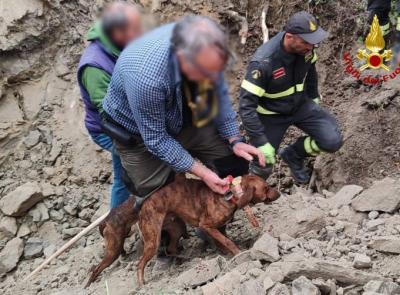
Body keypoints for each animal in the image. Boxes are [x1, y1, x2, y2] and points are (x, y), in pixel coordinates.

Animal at [86, 175, 280, 288]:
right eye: (266, 187)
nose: (279, 193)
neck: (231, 193)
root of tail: (143, 206)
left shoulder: (215, 228)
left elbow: (222, 239)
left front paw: (225, 253)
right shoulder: (206, 225)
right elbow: (226, 240)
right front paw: (238, 253)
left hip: (176, 228)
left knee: (171, 248)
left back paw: (182, 258)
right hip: (148, 241)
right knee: (138, 263)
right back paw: (140, 283)